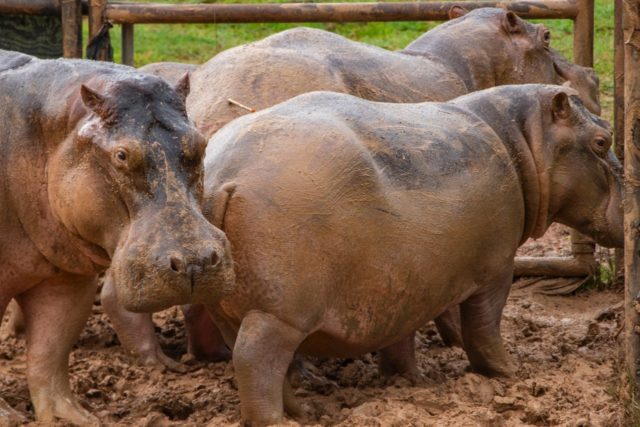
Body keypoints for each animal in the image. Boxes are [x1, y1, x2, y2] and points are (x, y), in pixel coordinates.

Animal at [0, 49, 234, 425]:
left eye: (200, 144)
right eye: (121, 155)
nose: (195, 262)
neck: (53, 130)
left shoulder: (67, 280)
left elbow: (50, 352)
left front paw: (74, 417)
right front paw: (8, 417)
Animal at [201, 85, 622, 425]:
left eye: (605, 127)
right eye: (602, 140)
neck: (523, 137)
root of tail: (223, 178)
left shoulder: (401, 280)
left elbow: (401, 334)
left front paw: (408, 381)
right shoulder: (497, 268)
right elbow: (483, 328)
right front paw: (511, 373)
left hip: (234, 310)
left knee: (258, 362)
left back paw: (305, 413)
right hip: (278, 315)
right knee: (256, 362)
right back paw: (275, 421)